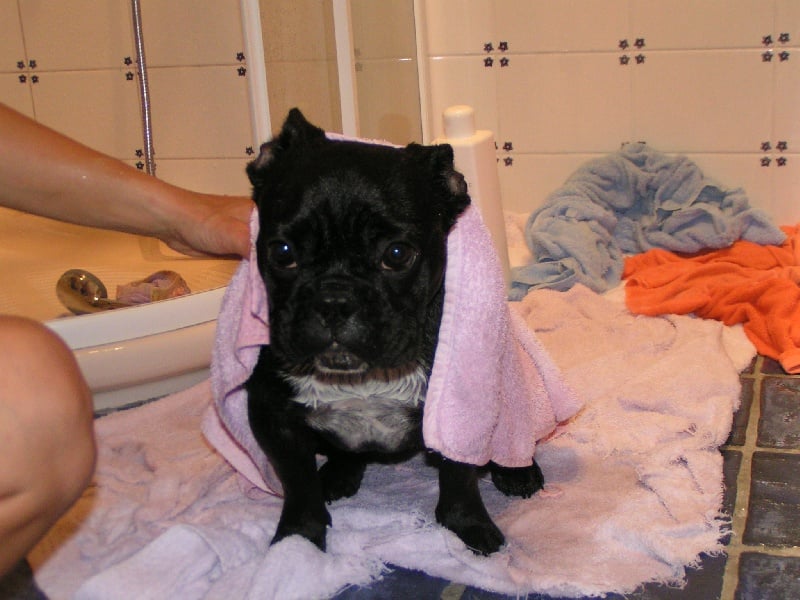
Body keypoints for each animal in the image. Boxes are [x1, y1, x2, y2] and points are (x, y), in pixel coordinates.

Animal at [244, 109, 544, 556]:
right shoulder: (275, 417)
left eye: (397, 255)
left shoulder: (457, 410)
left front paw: (468, 528)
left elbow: (459, 477)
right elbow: (298, 484)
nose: (334, 300)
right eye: (282, 252)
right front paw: (297, 542)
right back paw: (338, 475)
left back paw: (518, 471)